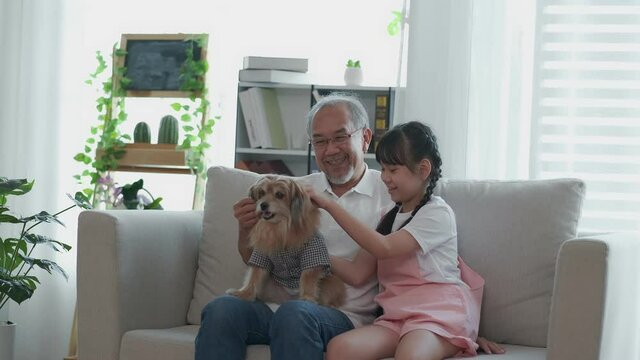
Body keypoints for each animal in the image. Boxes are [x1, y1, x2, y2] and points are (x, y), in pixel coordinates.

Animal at [225, 176, 344, 308]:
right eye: (261, 193)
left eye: (279, 195)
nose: (263, 205)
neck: (279, 228)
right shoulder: (262, 252)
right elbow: (254, 276)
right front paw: (244, 293)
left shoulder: (312, 253)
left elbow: (308, 278)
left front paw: (307, 298)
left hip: (332, 281)